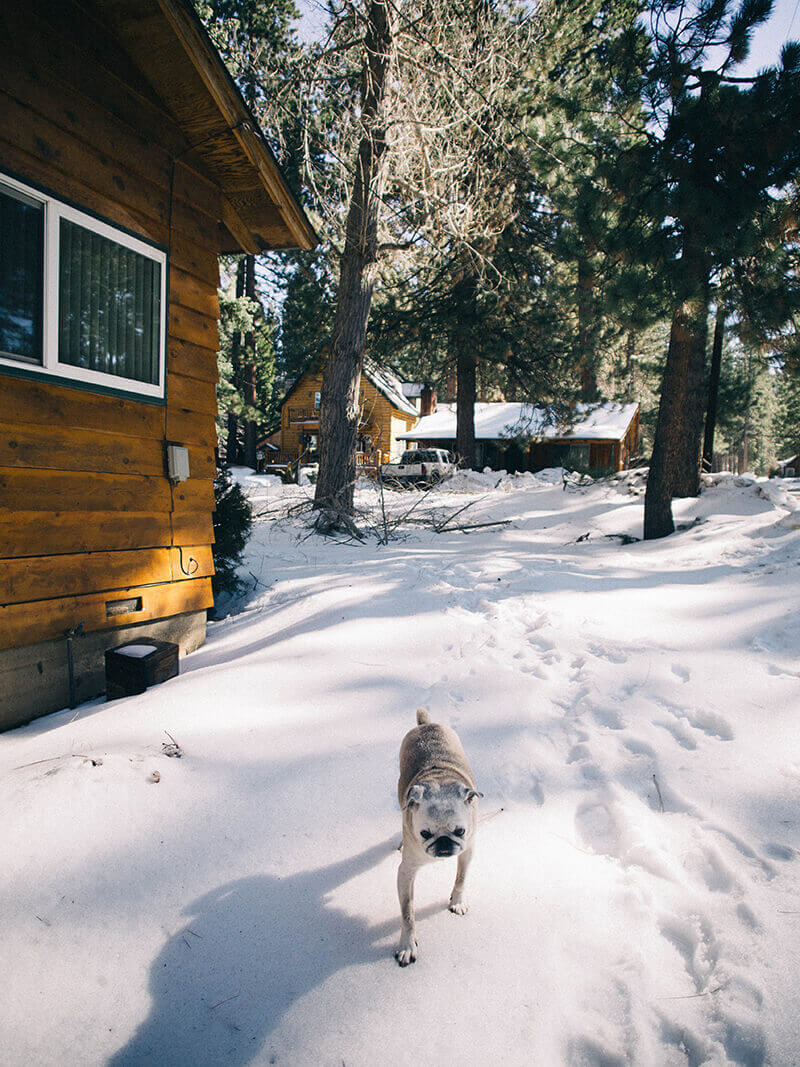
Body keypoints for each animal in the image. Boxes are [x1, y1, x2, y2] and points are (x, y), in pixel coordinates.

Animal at [396, 708, 482, 968]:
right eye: (425, 833)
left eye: (460, 831)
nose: (444, 843)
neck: (440, 781)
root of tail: (426, 724)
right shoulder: (406, 872)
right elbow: (408, 913)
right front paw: (407, 945)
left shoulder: (467, 850)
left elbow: (461, 878)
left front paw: (457, 902)